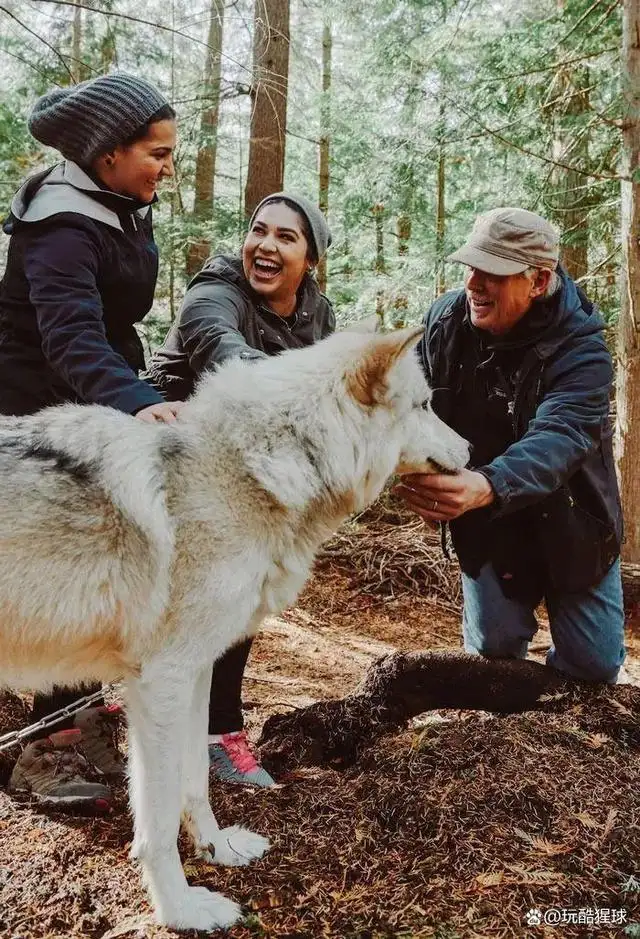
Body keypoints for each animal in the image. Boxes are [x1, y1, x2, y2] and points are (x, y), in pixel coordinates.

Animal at [0, 326, 470, 928]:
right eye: (426, 405)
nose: (471, 450)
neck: (249, 470)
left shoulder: (196, 671)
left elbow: (197, 778)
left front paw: (217, 850)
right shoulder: (161, 680)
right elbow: (156, 820)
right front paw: (180, 910)